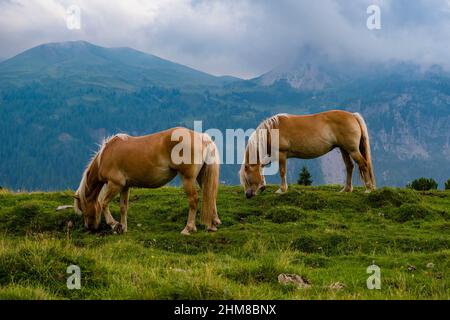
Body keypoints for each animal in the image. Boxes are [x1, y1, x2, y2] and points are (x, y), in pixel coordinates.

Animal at [73, 127, 220, 235]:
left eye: (82, 208)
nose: (90, 227)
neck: (105, 155)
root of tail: (201, 137)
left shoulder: (115, 184)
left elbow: (104, 204)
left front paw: (114, 225)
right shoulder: (125, 186)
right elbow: (123, 207)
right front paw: (123, 228)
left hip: (187, 179)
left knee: (194, 200)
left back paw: (188, 228)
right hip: (201, 177)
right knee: (210, 195)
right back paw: (213, 224)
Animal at [239, 111, 376, 199]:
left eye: (247, 178)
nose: (247, 195)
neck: (272, 130)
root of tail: (352, 115)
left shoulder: (281, 154)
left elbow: (282, 172)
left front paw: (281, 190)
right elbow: (262, 167)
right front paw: (263, 184)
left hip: (352, 150)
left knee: (363, 164)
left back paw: (368, 189)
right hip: (344, 149)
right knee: (349, 166)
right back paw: (346, 189)